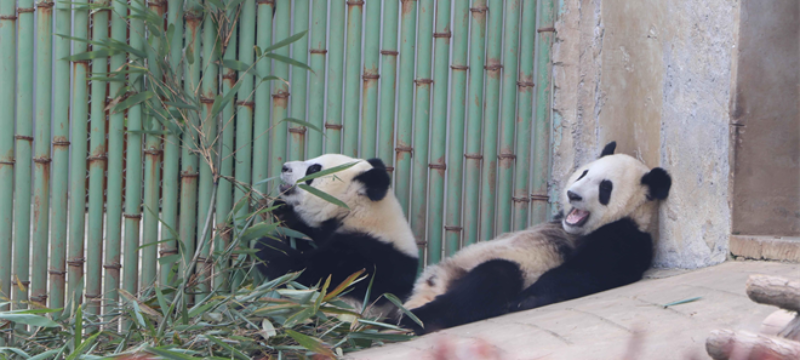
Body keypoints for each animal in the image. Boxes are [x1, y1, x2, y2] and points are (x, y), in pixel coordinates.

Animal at [256, 153, 418, 320]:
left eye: (314, 169)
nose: (285, 167)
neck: (359, 211)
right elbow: (304, 236)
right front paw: (281, 209)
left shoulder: (366, 258)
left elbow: (312, 276)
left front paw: (266, 246)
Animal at [398, 142, 668, 334]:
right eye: (584, 174)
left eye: (605, 187)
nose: (573, 195)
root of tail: (435, 284)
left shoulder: (627, 238)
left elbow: (590, 270)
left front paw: (525, 299)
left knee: (488, 282)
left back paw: (413, 319)